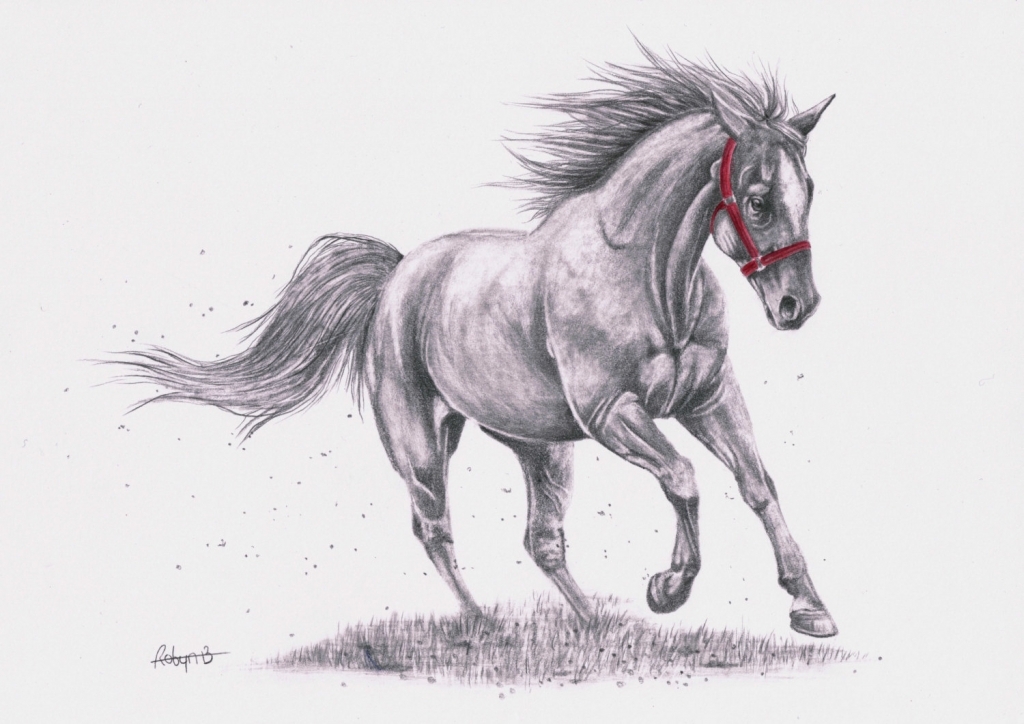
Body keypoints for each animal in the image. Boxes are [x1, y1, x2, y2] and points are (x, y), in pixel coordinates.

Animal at [115, 49, 838, 637]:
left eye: (810, 190)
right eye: (758, 198)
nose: (796, 307)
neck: (650, 277)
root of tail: (395, 277)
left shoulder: (707, 398)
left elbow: (757, 483)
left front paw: (810, 607)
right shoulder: (612, 413)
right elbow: (684, 477)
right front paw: (669, 588)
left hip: (540, 447)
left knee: (542, 541)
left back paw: (597, 625)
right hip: (422, 442)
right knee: (434, 526)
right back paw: (486, 622)